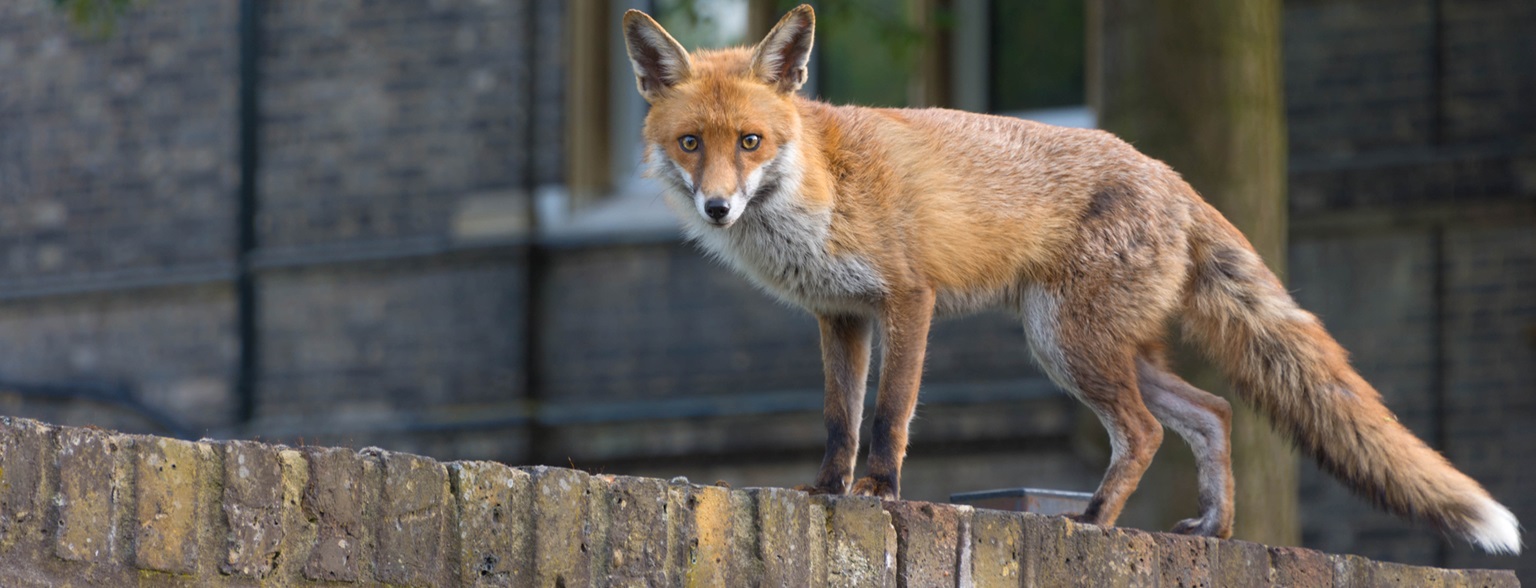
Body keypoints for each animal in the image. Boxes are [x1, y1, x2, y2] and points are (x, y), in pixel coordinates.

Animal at [617, 4, 1517, 555]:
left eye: (753, 141)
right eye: (692, 143)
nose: (718, 207)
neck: (821, 185)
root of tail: (1173, 176)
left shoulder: (909, 299)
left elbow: (888, 417)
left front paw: (878, 493)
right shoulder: (840, 316)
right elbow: (840, 420)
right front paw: (823, 493)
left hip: (1065, 343)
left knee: (1146, 433)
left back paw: (1093, 522)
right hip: (1100, 347)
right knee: (1215, 411)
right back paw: (1213, 529)